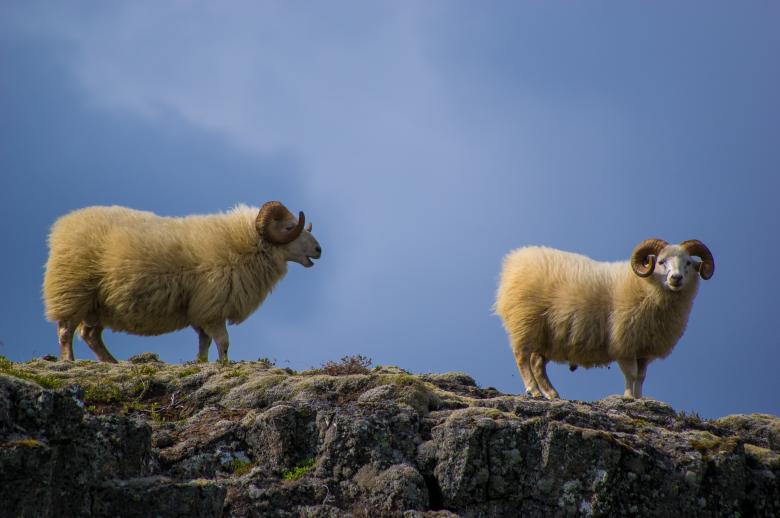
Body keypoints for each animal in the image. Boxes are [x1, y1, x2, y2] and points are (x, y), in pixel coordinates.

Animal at [43, 201, 321, 363]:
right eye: (289, 227)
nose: (319, 250)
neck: (246, 243)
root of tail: (64, 225)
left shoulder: (200, 310)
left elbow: (204, 342)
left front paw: (202, 364)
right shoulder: (213, 308)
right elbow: (223, 342)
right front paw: (224, 366)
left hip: (97, 305)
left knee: (90, 335)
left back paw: (111, 362)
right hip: (72, 290)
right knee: (66, 330)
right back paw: (68, 361)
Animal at [495, 239, 714, 399]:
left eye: (688, 263)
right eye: (661, 262)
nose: (676, 278)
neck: (646, 285)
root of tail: (515, 259)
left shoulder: (644, 348)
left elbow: (641, 376)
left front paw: (639, 399)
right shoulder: (624, 342)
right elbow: (631, 374)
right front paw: (628, 397)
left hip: (546, 336)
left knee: (537, 363)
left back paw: (551, 393)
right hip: (525, 322)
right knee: (522, 357)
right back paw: (533, 390)